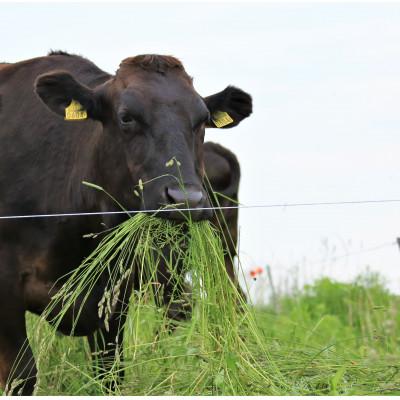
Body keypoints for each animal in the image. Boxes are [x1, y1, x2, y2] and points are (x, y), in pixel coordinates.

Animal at [0, 52, 250, 394]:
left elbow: (110, 371)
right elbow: (22, 374)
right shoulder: (6, 285)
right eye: (126, 117)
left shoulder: (116, 287)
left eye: (202, 119)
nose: (186, 198)